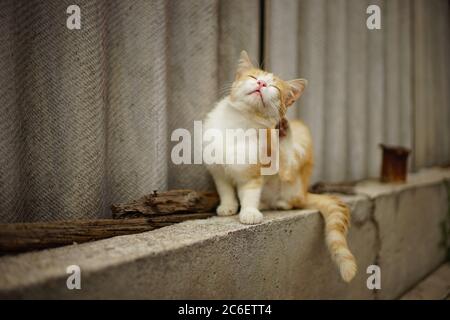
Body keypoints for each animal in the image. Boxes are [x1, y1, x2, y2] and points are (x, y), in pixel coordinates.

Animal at [206, 51, 356, 282]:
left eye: (274, 87)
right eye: (252, 77)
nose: (261, 83)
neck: (241, 124)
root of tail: (304, 190)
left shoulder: (254, 172)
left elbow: (250, 192)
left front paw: (249, 212)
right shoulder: (218, 170)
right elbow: (225, 189)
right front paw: (228, 206)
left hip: (300, 140)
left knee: (291, 176)